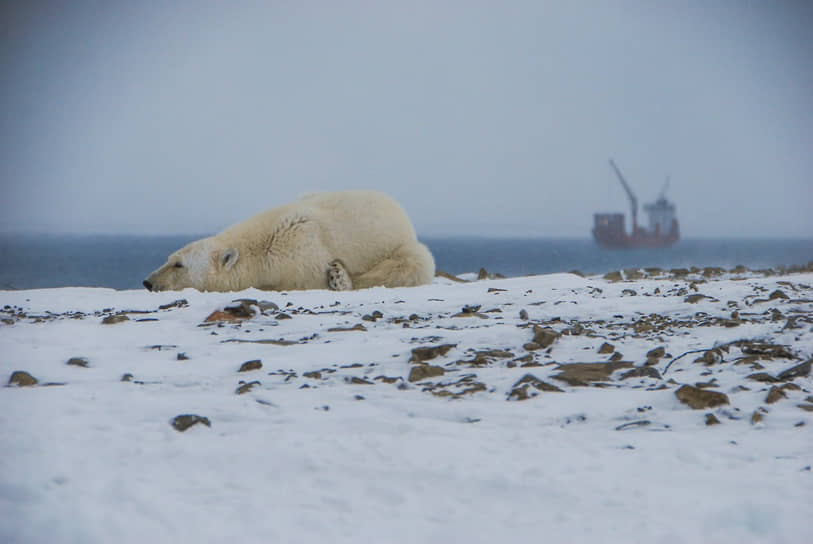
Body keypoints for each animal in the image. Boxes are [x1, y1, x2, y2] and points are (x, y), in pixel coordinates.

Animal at [144, 191, 438, 294]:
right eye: (169, 259)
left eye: (178, 265)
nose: (148, 282)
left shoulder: (301, 251)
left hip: (400, 247)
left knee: (410, 265)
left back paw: (340, 277)